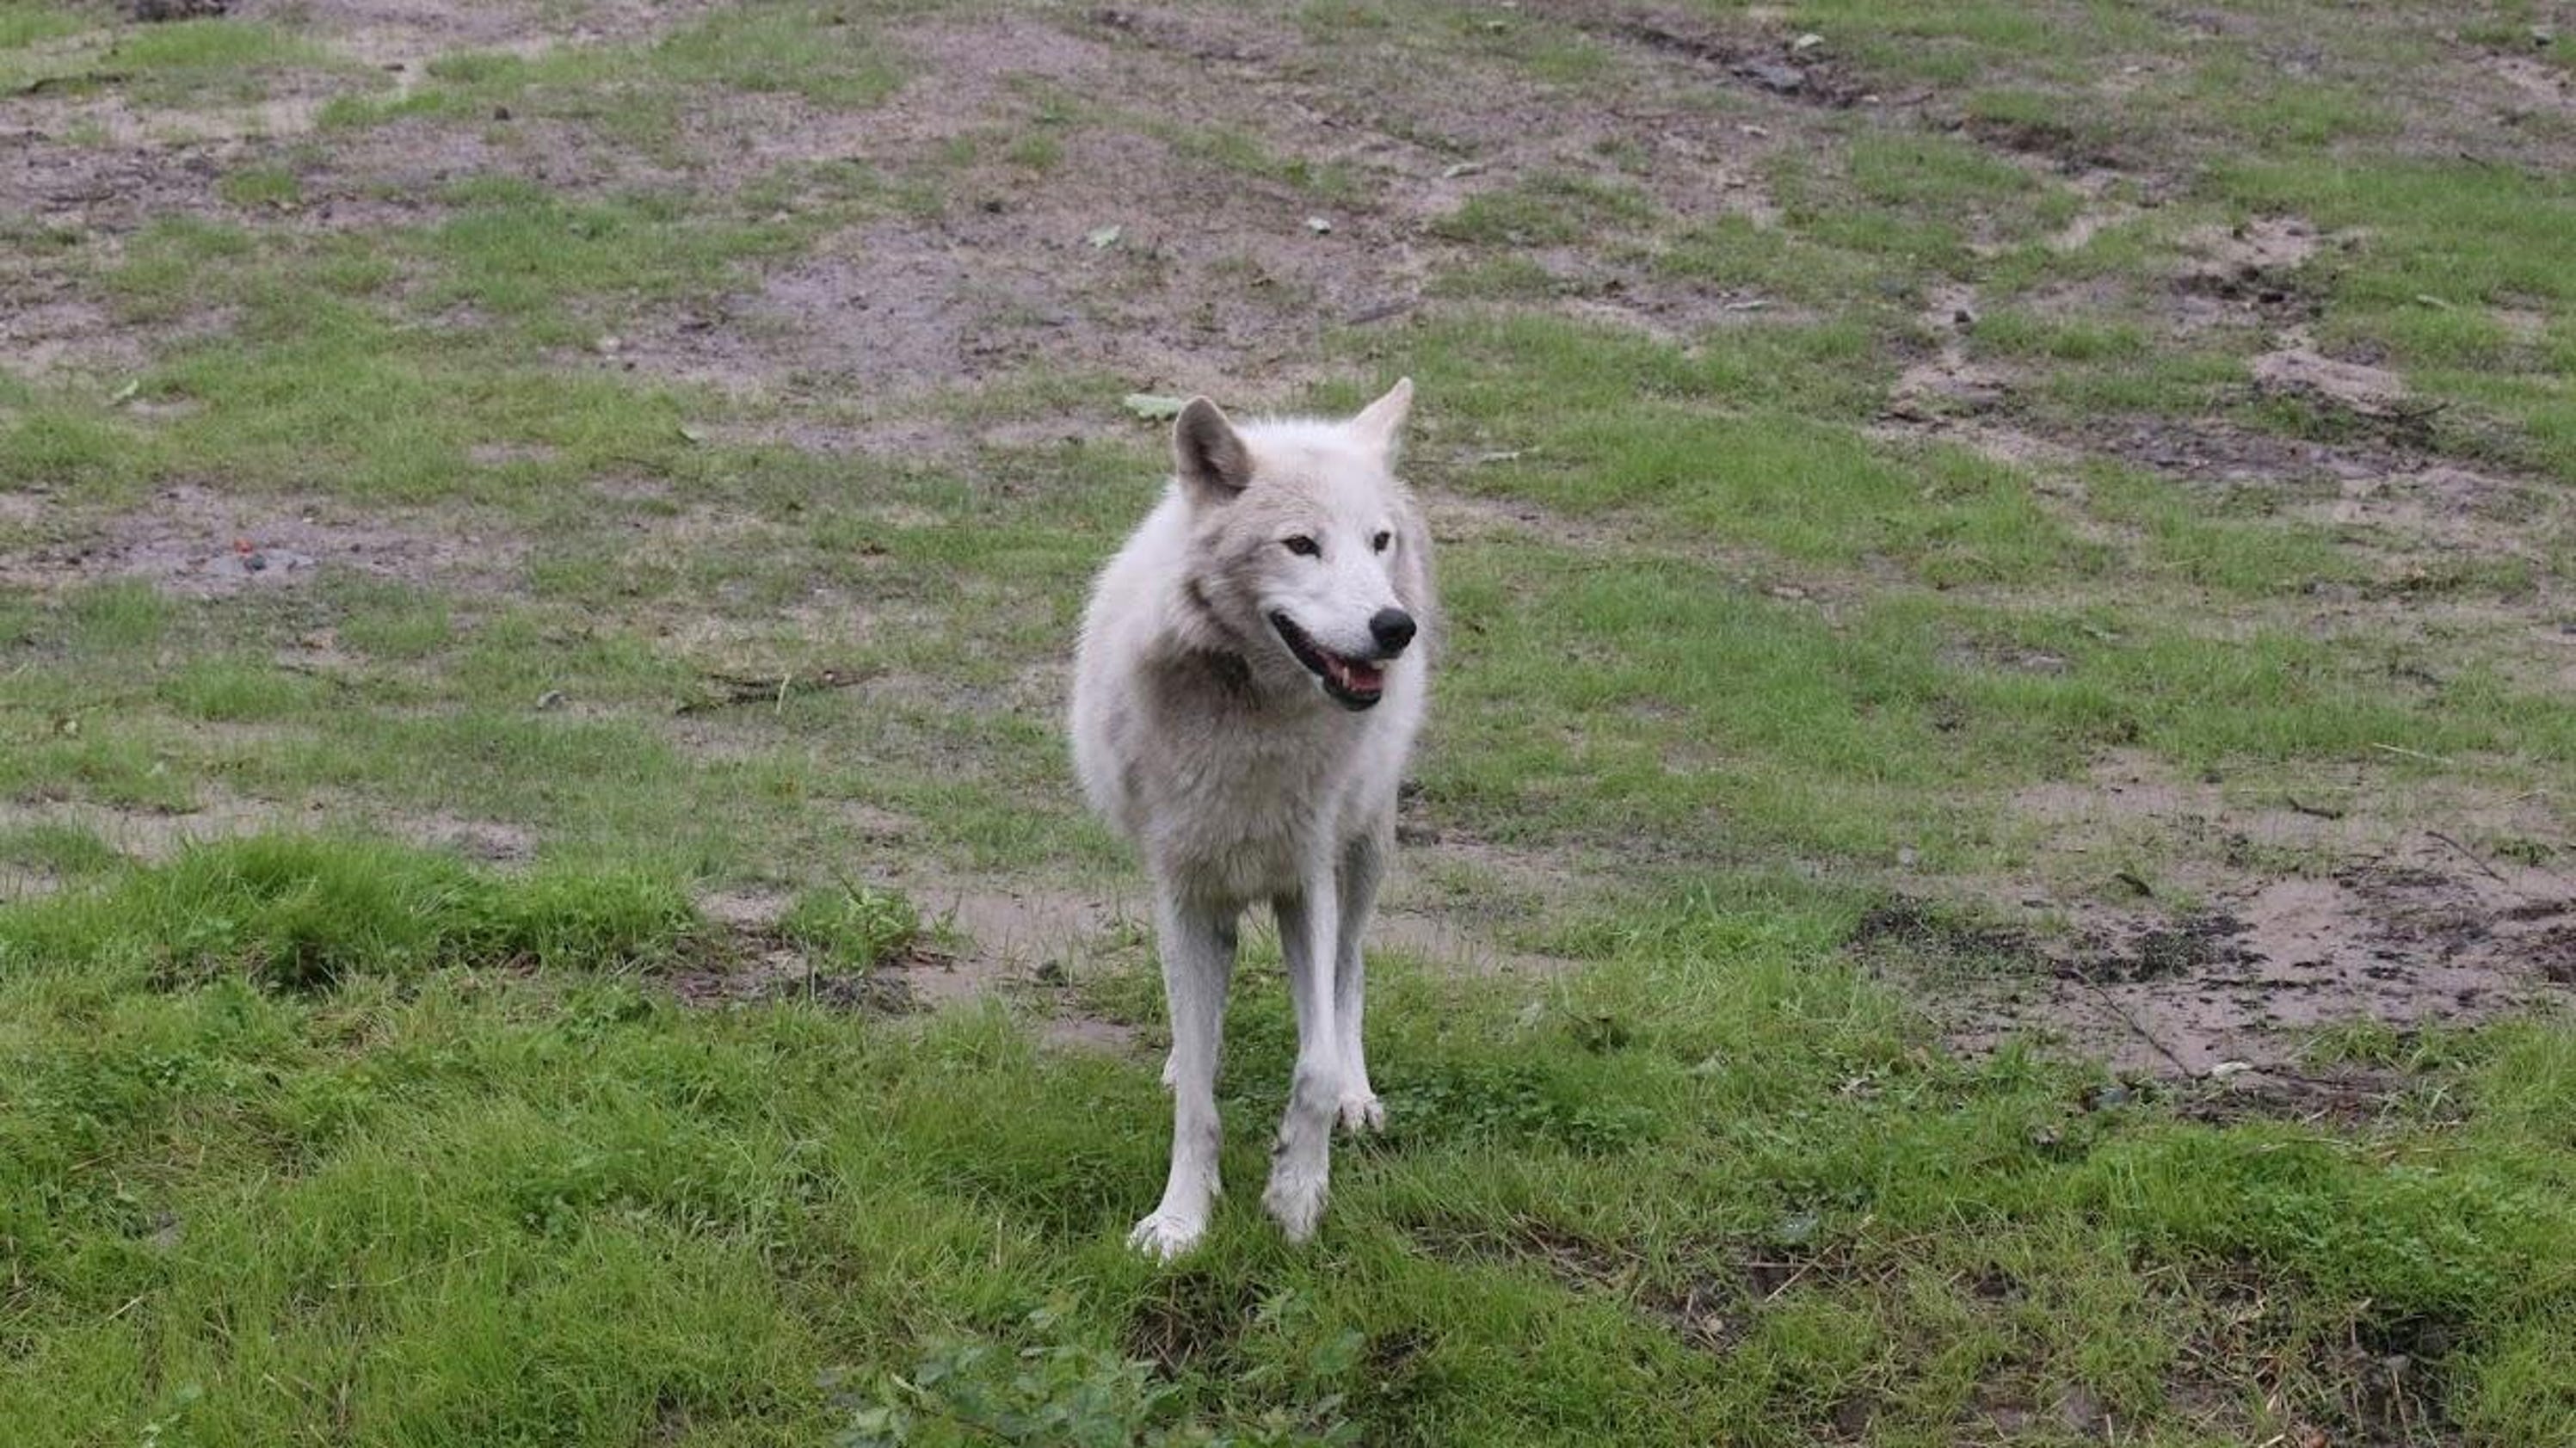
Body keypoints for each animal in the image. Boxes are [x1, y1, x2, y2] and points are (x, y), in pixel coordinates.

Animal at [1069, 379, 1432, 1259]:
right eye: (1300, 544)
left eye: (1376, 541)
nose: (1394, 628)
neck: (1252, 716)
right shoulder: (1185, 892)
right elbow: (1198, 1093)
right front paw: (1180, 1220)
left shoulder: (1307, 885)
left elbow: (1315, 1063)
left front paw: (1297, 1197)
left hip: (1366, 851)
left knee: (1350, 973)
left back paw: (1359, 1099)